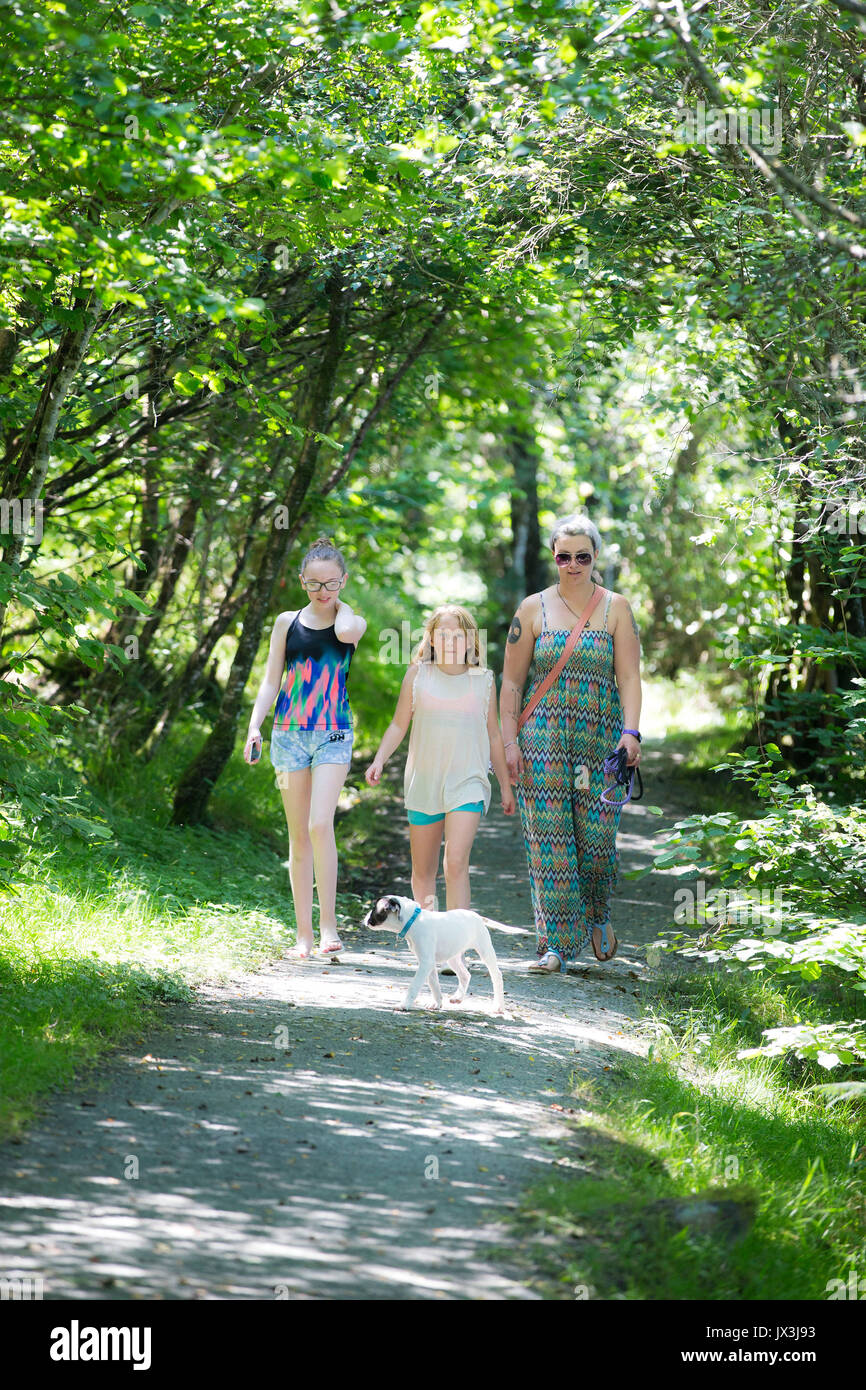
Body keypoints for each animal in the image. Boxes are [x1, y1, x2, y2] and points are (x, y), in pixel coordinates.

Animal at [361, 895, 508, 1017]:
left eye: (374, 908)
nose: (365, 916)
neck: (413, 921)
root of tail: (477, 916)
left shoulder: (425, 963)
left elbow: (414, 986)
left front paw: (404, 1005)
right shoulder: (429, 962)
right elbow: (434, 984)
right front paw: (437, 1003)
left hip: (485, 951)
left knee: (497, 976)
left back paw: (498, 1006)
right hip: (453, 957)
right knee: (465, 975)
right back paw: (458, 997)